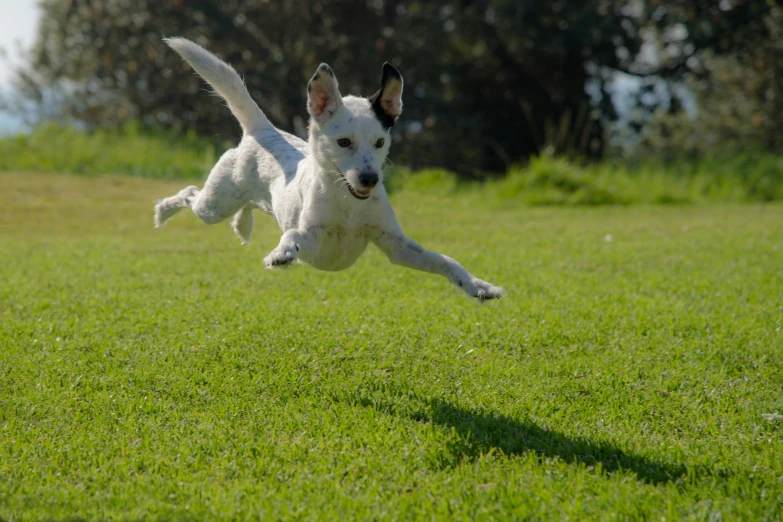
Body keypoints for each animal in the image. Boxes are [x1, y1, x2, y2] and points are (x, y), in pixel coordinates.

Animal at [156, 37, 506, 300]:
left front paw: (478, 286)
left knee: (245, 206)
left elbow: (445, 260)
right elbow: (293, 236)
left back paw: (242, 224)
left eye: (380, 142)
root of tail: (263, 130)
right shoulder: (313, 238)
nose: (370, 178)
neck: (348, 203)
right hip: (215, 204)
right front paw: (281, 253)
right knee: (190, 193)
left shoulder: (396, 245)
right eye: (343, 142)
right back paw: (163, 211)